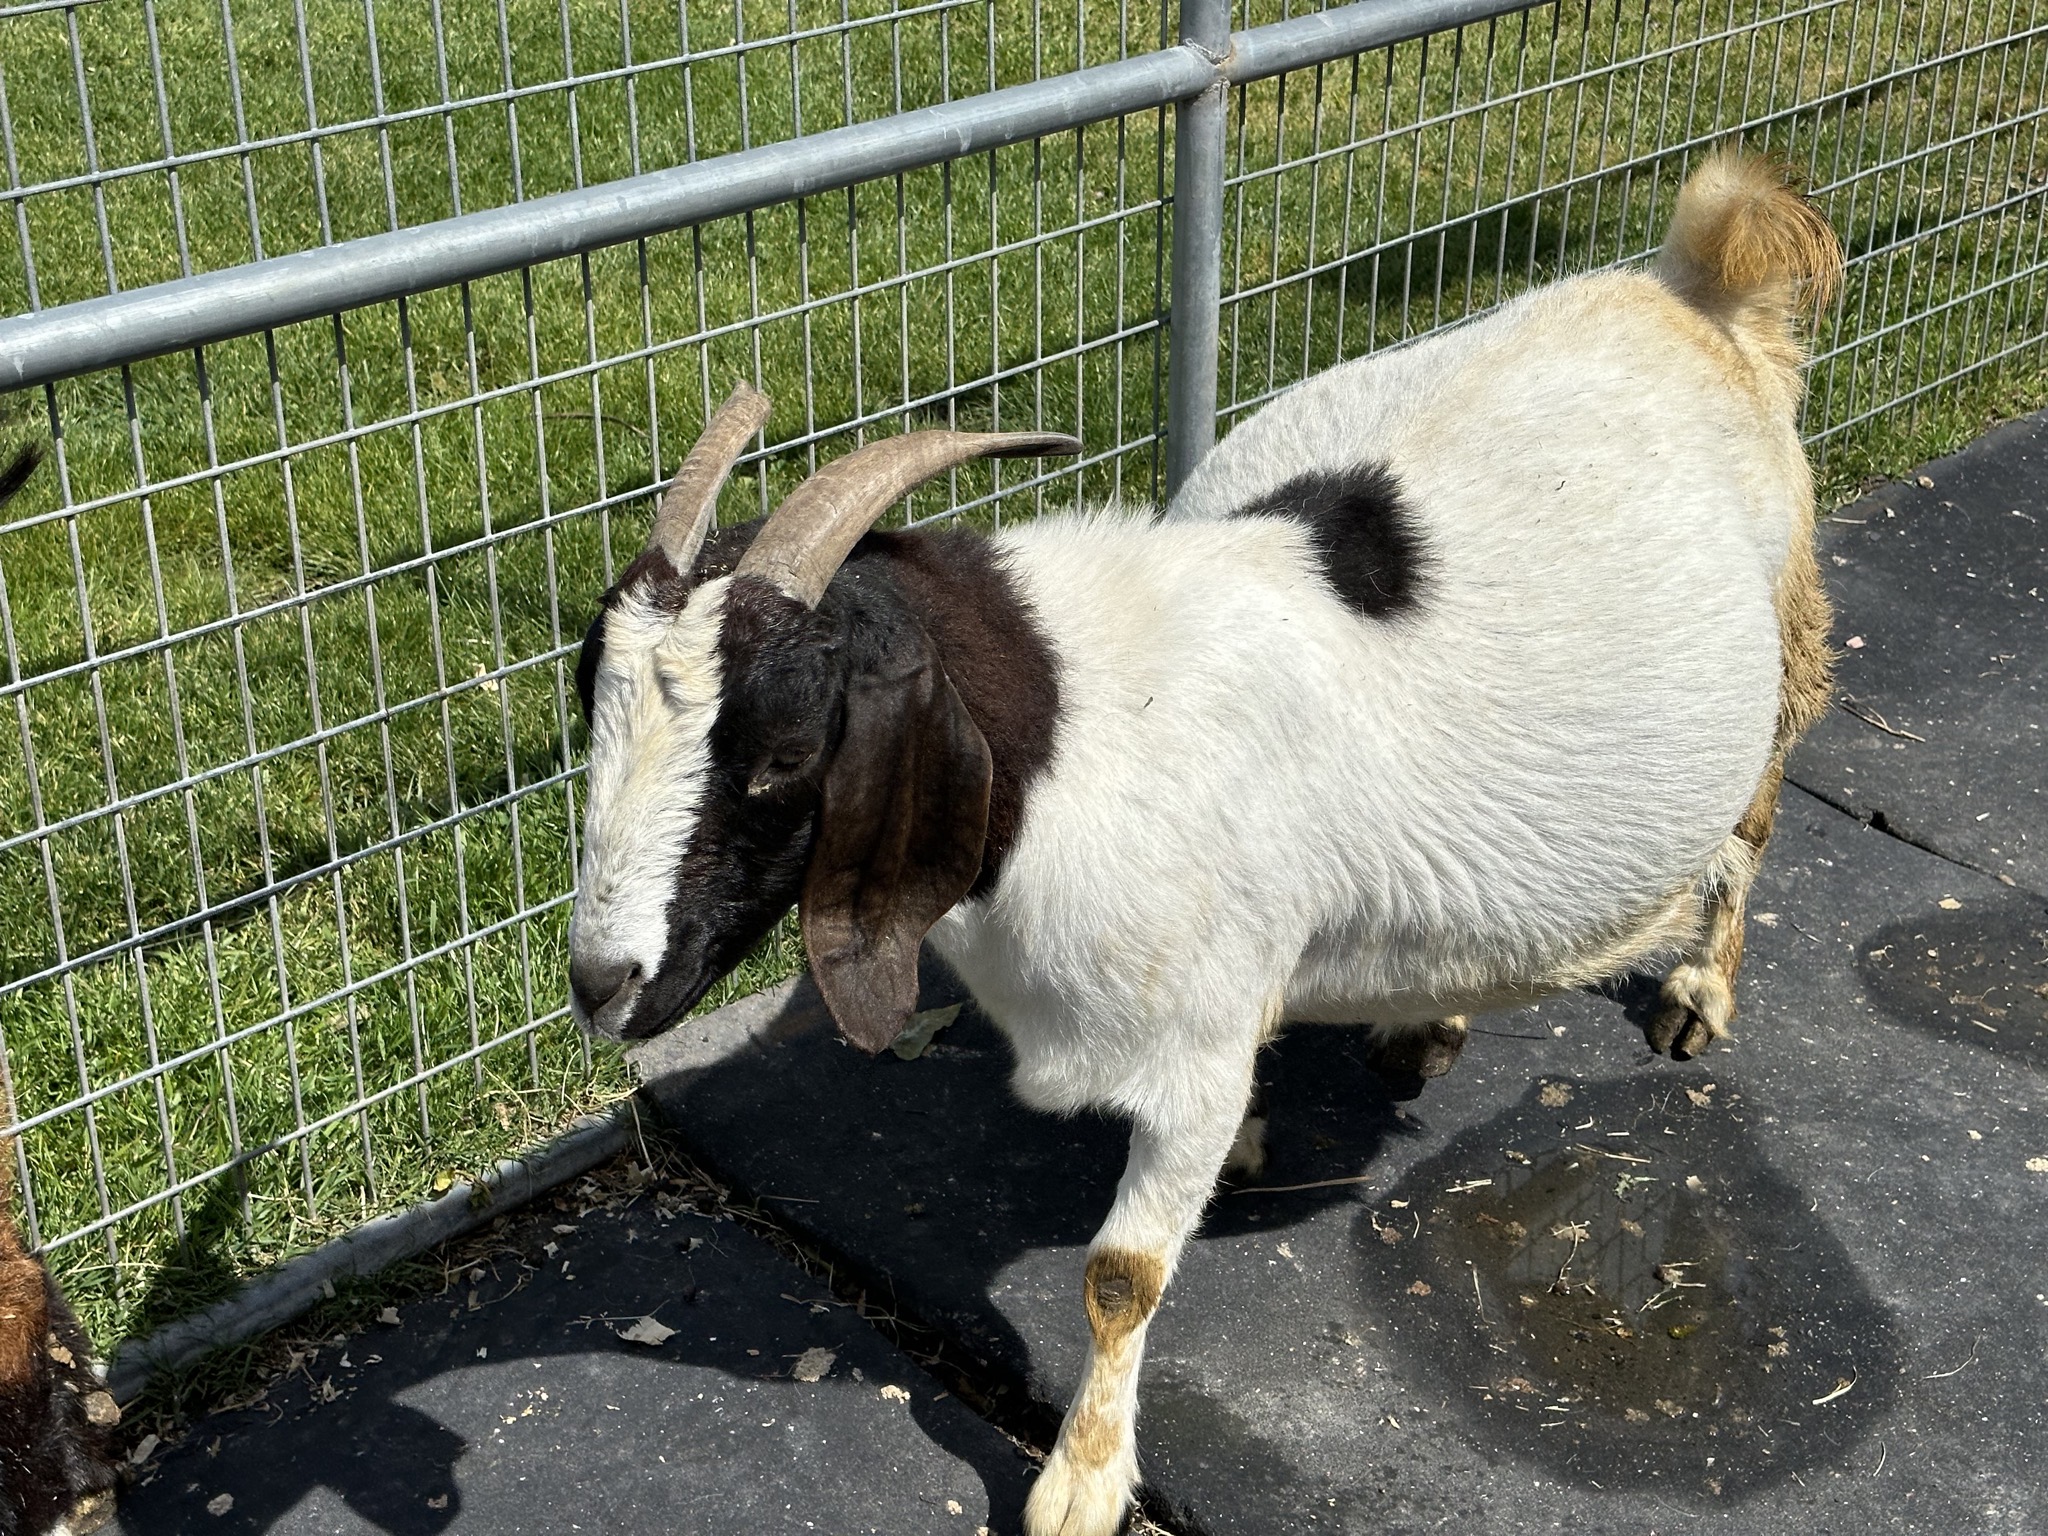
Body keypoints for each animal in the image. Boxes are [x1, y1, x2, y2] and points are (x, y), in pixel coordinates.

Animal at [567, 150, 1842, 1536]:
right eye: (590, 709)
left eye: (786, 753)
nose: (601, 982)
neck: (1079, 727)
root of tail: (1690, 286)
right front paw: (1251, 1144)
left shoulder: (1185, 1038)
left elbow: (1120, 1272)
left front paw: (1078, 1485)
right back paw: (1426, 1024)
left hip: (1779, 638)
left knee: (1754, 815)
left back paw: (1694, 994)